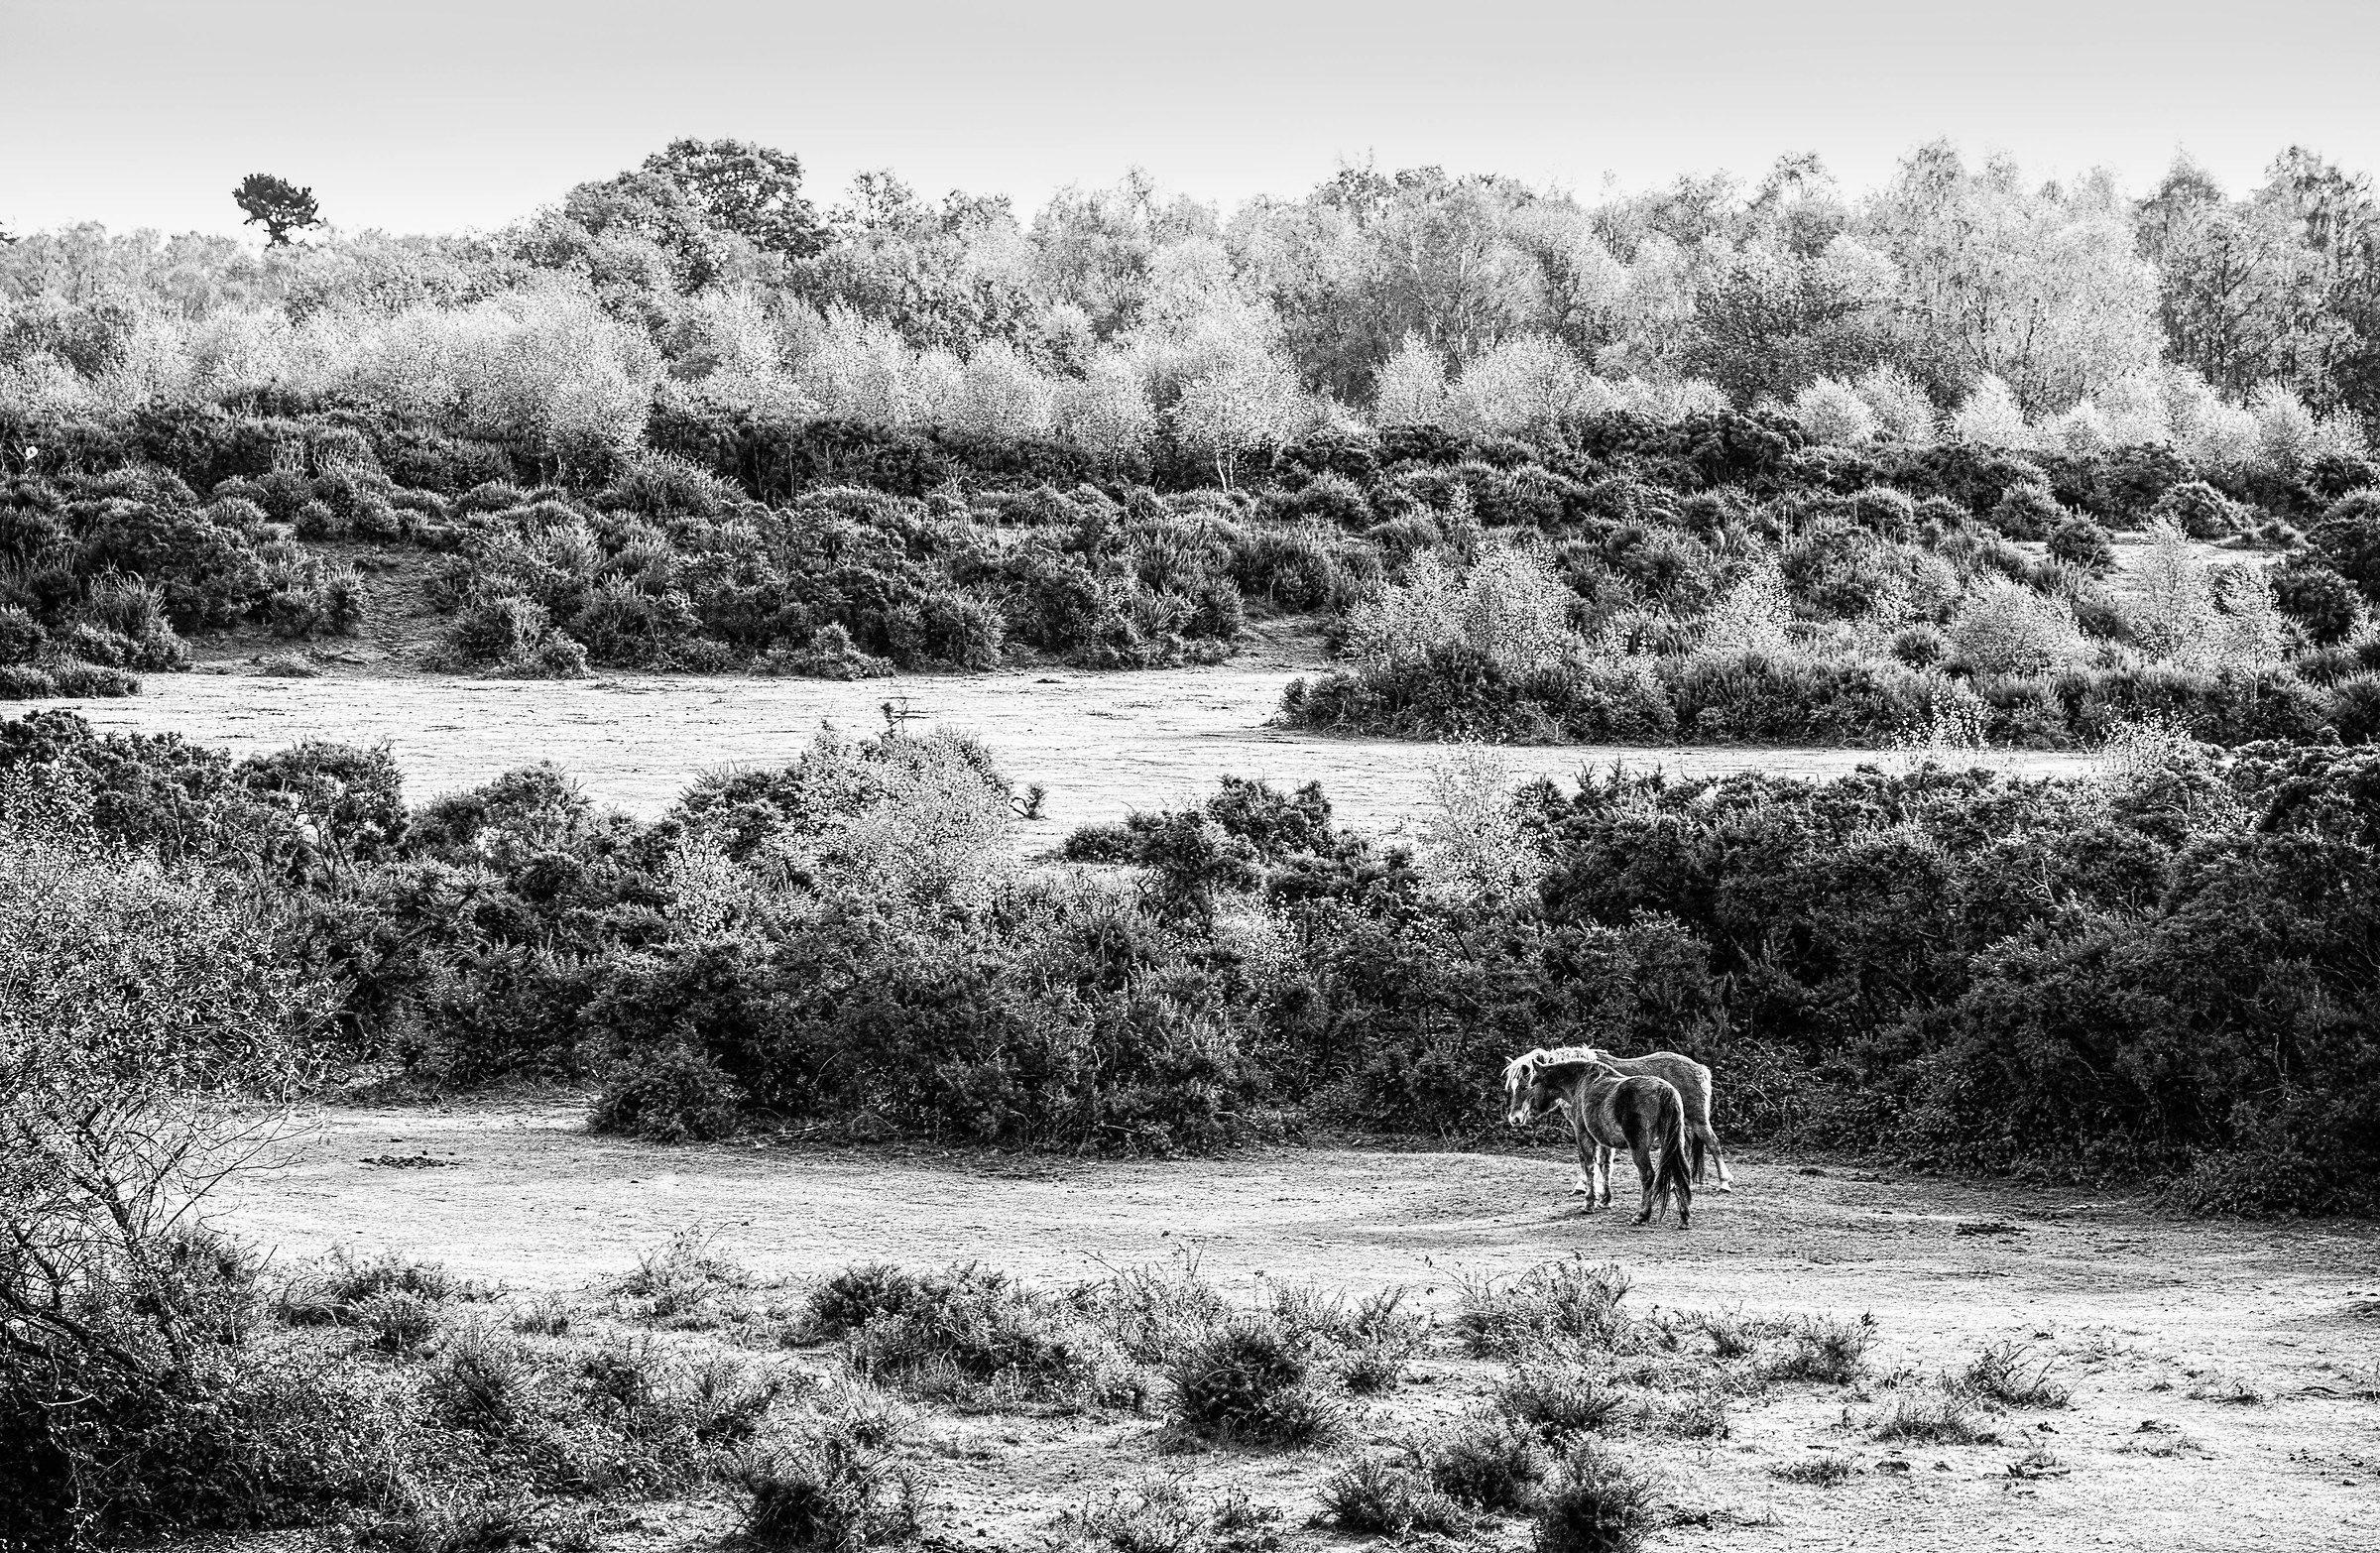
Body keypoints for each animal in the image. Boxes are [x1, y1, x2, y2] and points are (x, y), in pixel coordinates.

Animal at [1503, 1047, 1694, 1229]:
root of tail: (1664, 1090)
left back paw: (1642, 1215)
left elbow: (1589, 1166)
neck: (1581, 1082)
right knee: (1680, 1173)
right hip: (1673, 1143)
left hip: (1639, 1146)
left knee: (1647, 1175)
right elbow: (1604, 1165)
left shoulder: (1584, 1135)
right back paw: (1684, 1216)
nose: (1515, 1118)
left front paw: (1589, 1202)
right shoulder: (1605, 1140)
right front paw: (1604, 1199)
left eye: (1525, 1086)